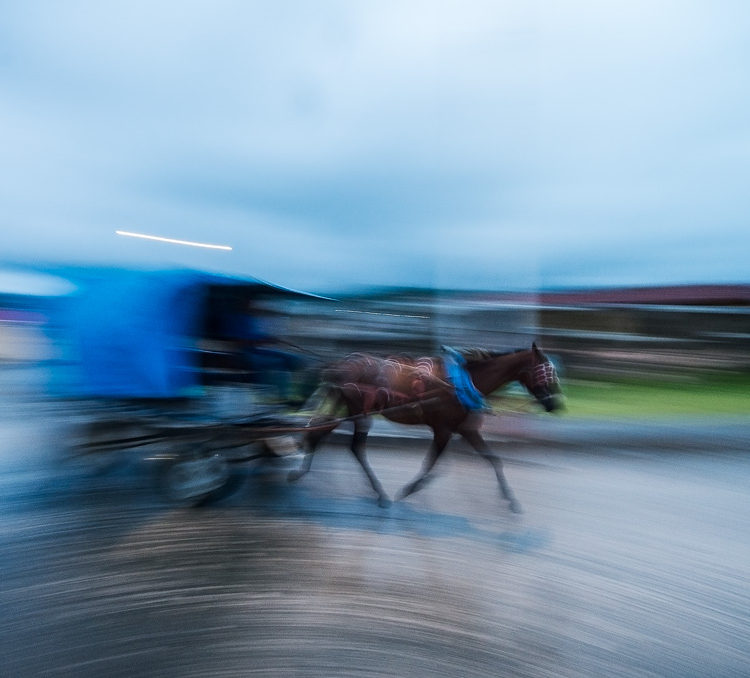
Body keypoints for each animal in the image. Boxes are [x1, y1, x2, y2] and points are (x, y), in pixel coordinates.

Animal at [288, 342, 564, 512]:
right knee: (355, 447)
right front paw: (409, 489)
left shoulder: (466, 429)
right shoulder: (443, 429)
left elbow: (492, 459)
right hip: (360, 410)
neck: (464, 383)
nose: (556, 405)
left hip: (349, 408)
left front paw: (510, 500)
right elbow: (431, 463)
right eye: (546, 372)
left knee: (320, 431)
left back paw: (301, 469)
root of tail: (340, 365)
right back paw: (380, 493)